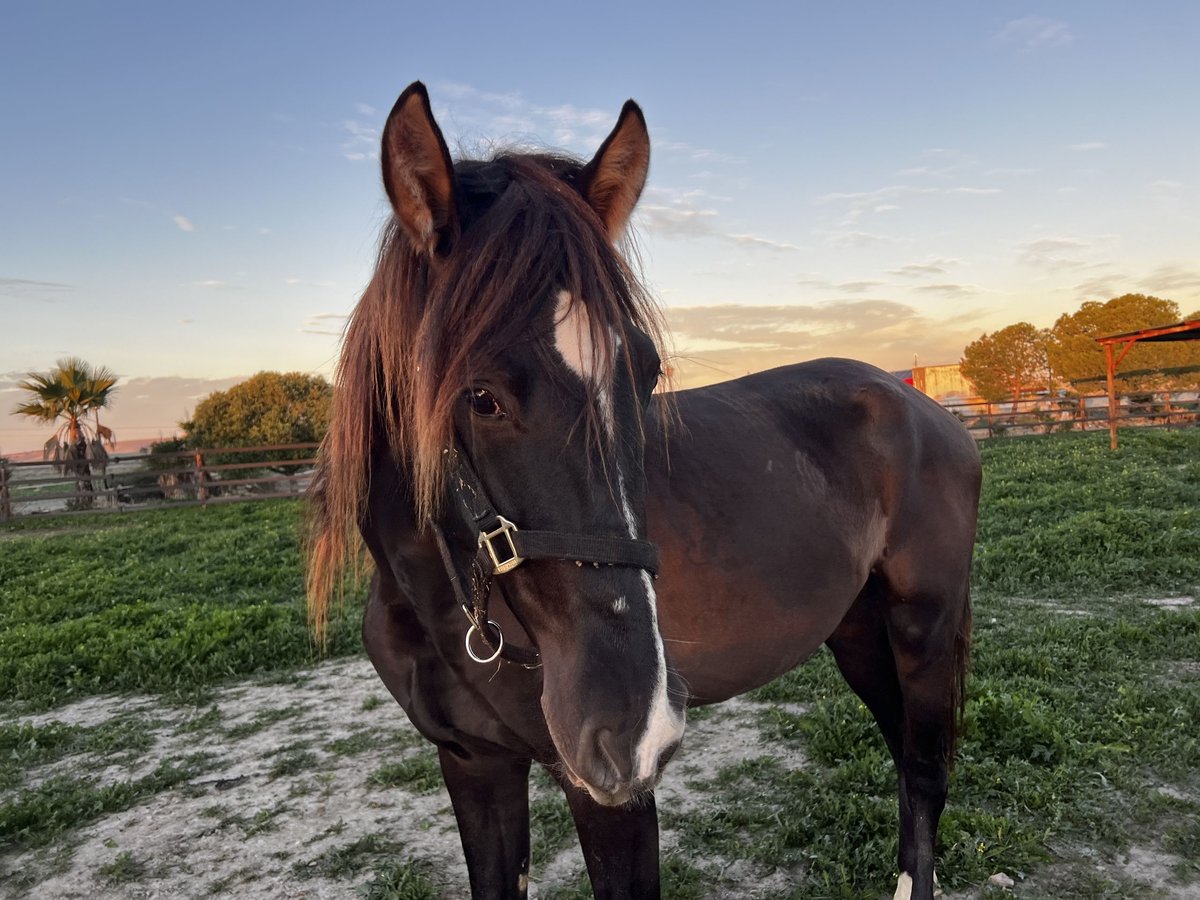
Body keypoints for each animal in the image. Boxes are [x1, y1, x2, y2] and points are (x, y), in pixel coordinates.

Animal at [304, 81, 979, 897]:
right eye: (479, 396)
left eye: (646, 370)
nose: (632, 726)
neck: (436, 602)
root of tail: (922, 405)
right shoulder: (474, 766)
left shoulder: (609, 797)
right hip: (856, 633)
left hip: (923, 632)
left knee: (924, 775)